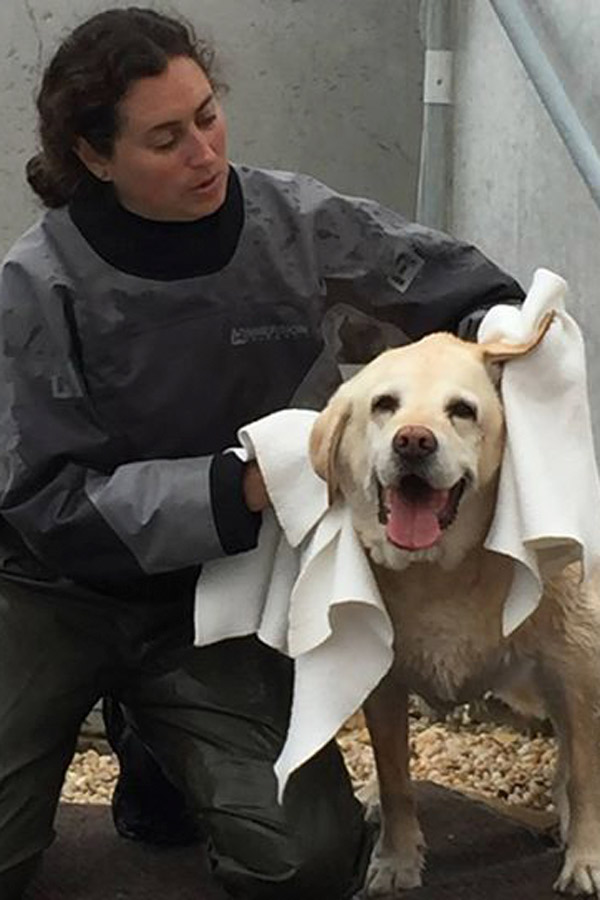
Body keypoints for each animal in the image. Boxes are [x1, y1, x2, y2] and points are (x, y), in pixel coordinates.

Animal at [310, 326, 600, 900]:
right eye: (384, 404)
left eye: (462, 410)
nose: (413, 441)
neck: (440, 571)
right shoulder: (381, 682)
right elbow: (396, 777)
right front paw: (396, 860)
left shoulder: (574, 660)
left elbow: (584, 773)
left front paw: (586, 860)